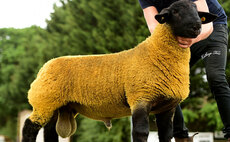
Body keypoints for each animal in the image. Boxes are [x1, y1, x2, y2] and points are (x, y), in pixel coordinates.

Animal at [21, 0, 216, 141]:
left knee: (49, 131)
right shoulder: (140, 99)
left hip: (58, 105)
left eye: (197, 11)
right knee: (29, 127)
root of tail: (46, 66)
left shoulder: (167, 107)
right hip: (44, 102)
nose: (197, 26)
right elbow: (141, 133)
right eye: (175, 12)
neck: (154, 53)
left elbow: (166, 135)